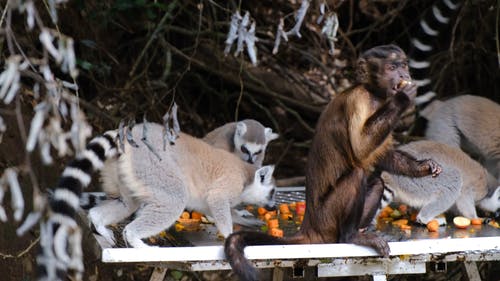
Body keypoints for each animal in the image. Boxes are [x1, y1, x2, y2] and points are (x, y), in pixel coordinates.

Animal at [224, 44, 442, 280]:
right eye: (392, 68)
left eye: (403, 66)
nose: (403, 76)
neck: (373, 92)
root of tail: (309, 226)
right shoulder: (359, 99)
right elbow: (360, 150)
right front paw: (402, 99)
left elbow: (381, 155)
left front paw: (422, 167)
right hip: (327, 219)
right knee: (357, 174)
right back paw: (350, 236)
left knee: (376, 182)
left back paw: (360, 229)